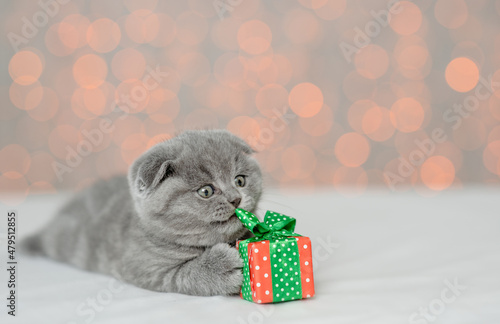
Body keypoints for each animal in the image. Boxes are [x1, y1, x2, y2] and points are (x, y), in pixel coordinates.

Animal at [21, 130, 264, 296]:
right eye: (206, 191)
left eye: (240, 180)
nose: (236, 198)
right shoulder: (147, 269)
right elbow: (183, 275)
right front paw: (219, 267)